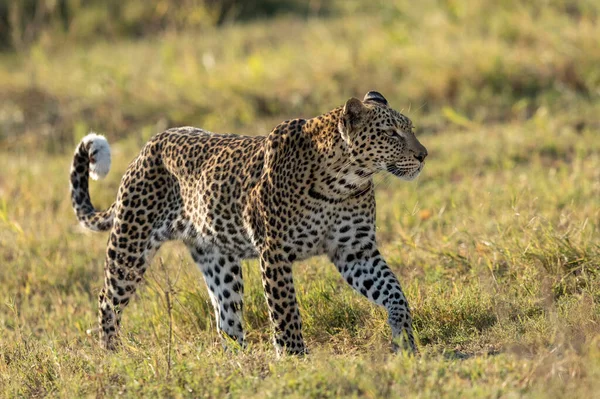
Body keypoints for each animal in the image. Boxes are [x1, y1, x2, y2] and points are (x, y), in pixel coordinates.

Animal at [70, 91, 426, 356]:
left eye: (409, 128)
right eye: (391, 134)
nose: (424, 155)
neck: (344, 182)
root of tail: (148, 146)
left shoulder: (355, 251)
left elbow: (394, 292)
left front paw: (405, 341)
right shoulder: (275, 252)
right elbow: (285, 311)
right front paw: (294, 359)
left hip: (219, 260)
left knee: (225, 317)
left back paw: (239, 363)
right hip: (130, 245)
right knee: (107, 300)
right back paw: (111, 356)